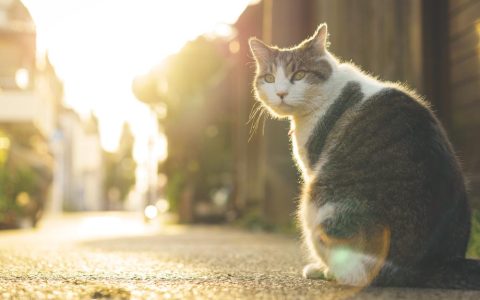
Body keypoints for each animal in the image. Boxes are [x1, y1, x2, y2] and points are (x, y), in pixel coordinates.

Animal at [248, 24, 480, 290]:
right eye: (269, 78)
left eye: (299, 75)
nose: (281, 93)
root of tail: (431, 265)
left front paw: (320, 269)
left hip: (315, 201)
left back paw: (327, 271)